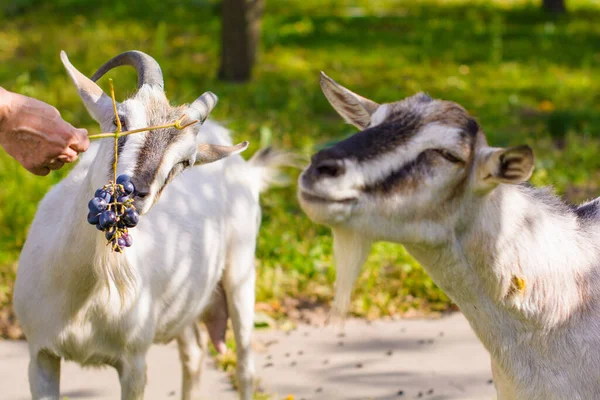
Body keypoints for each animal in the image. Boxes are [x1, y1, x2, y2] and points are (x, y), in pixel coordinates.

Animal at [13, 50, 286, 400]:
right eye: (121, 121)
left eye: (185, 162)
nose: (134, 191)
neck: (82, 296)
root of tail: (248, 170)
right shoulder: (40, 355)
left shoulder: (134, 363)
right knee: (194, 353)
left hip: (241, 272)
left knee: (244, 367)